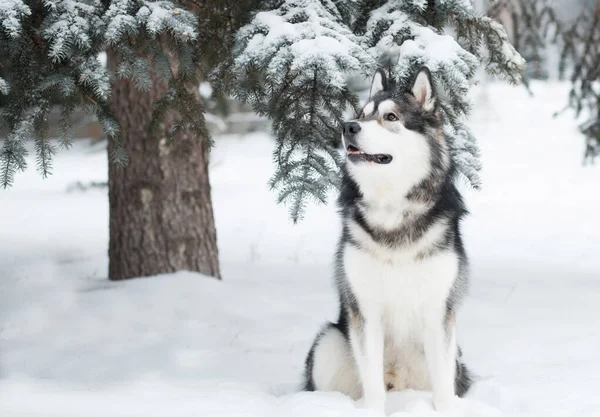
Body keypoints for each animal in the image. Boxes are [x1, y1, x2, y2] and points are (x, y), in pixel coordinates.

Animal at [304, 67, 474, 412]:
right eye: (362, 115)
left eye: (390, 117)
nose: (348, 127)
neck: (392, 208)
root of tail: (400, 380)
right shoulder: (365, 310)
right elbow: (371, 381)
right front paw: (372, 411)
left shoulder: (438, 310)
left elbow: (443, 385)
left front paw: (445, 410)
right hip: (328, 342)